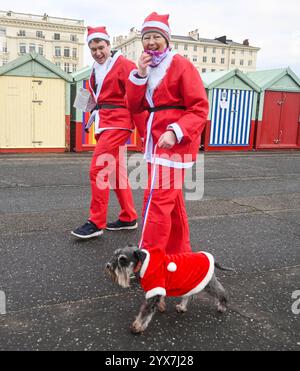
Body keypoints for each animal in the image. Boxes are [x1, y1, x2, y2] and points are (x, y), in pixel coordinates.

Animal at [105, 246, 234, 336]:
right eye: (115, 255)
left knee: (221, 292)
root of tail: (209, 257)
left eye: (123, 259)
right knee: (189, 296)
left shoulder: (153, 292)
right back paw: (182, 307)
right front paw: (162, 306)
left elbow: (145, 312)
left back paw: (222, 306)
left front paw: (137, 326)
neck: (144, 265)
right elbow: (160, 300)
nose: (108, 266)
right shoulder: (158, 290)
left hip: (208, 284)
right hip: (190, 283)